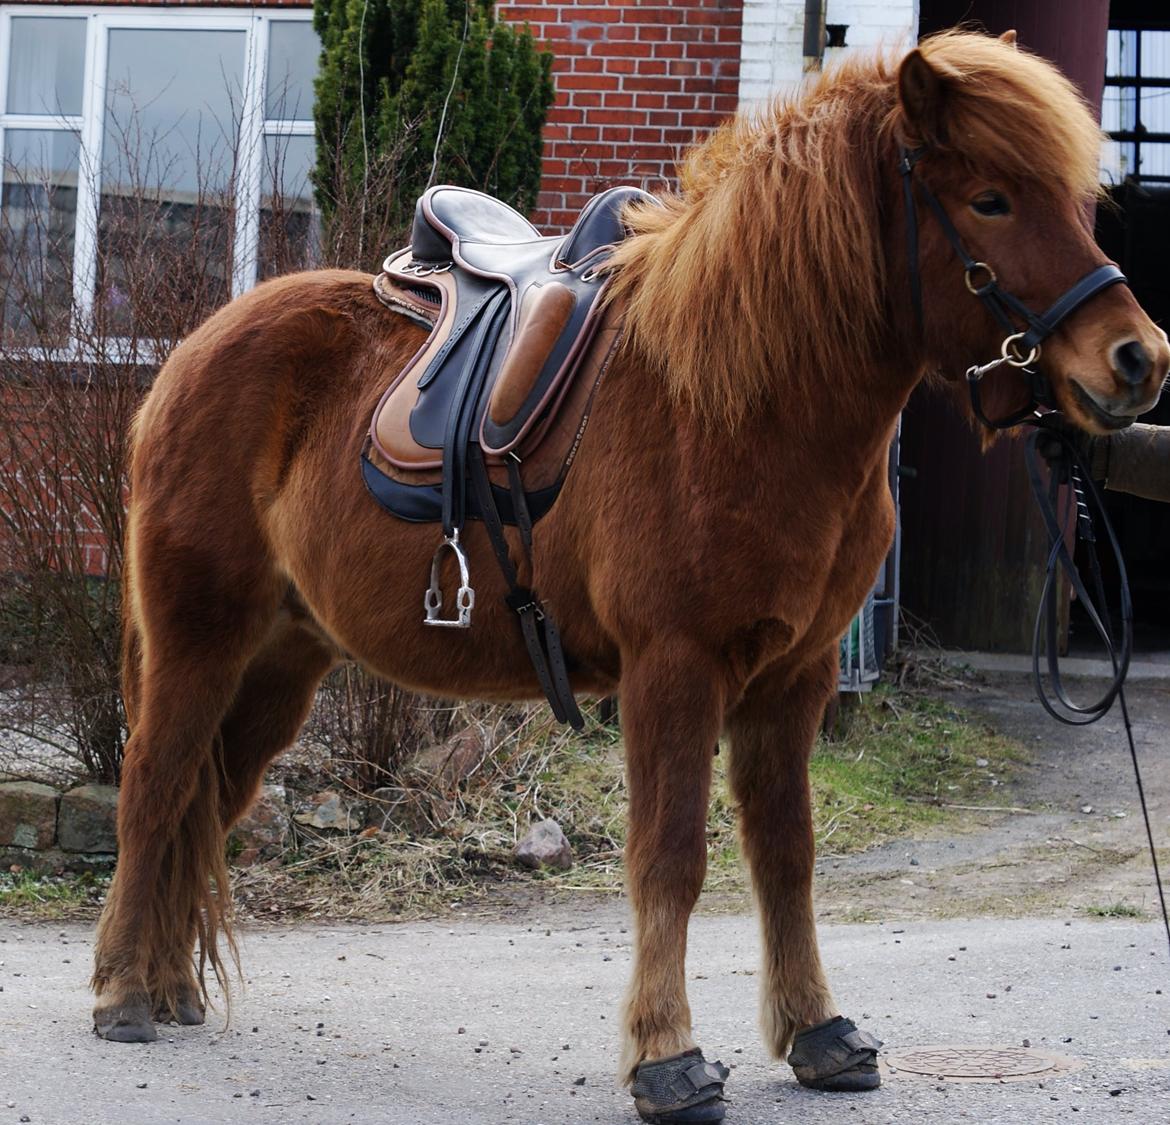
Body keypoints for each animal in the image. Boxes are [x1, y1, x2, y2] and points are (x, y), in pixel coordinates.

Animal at [93, 30, 1170, 1117]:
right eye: (990, 198)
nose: (1138, 358)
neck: (739, 401)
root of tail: (192, 352)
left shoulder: (797, 676)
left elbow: (788, 853)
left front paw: (819, 1033)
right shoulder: (673, 669)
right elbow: (671, 859)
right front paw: (668, 1059)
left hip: (282, 656)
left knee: (208, 798)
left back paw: (170, 984)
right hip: (198, 634)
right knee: (153, 784)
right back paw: (122, 995)